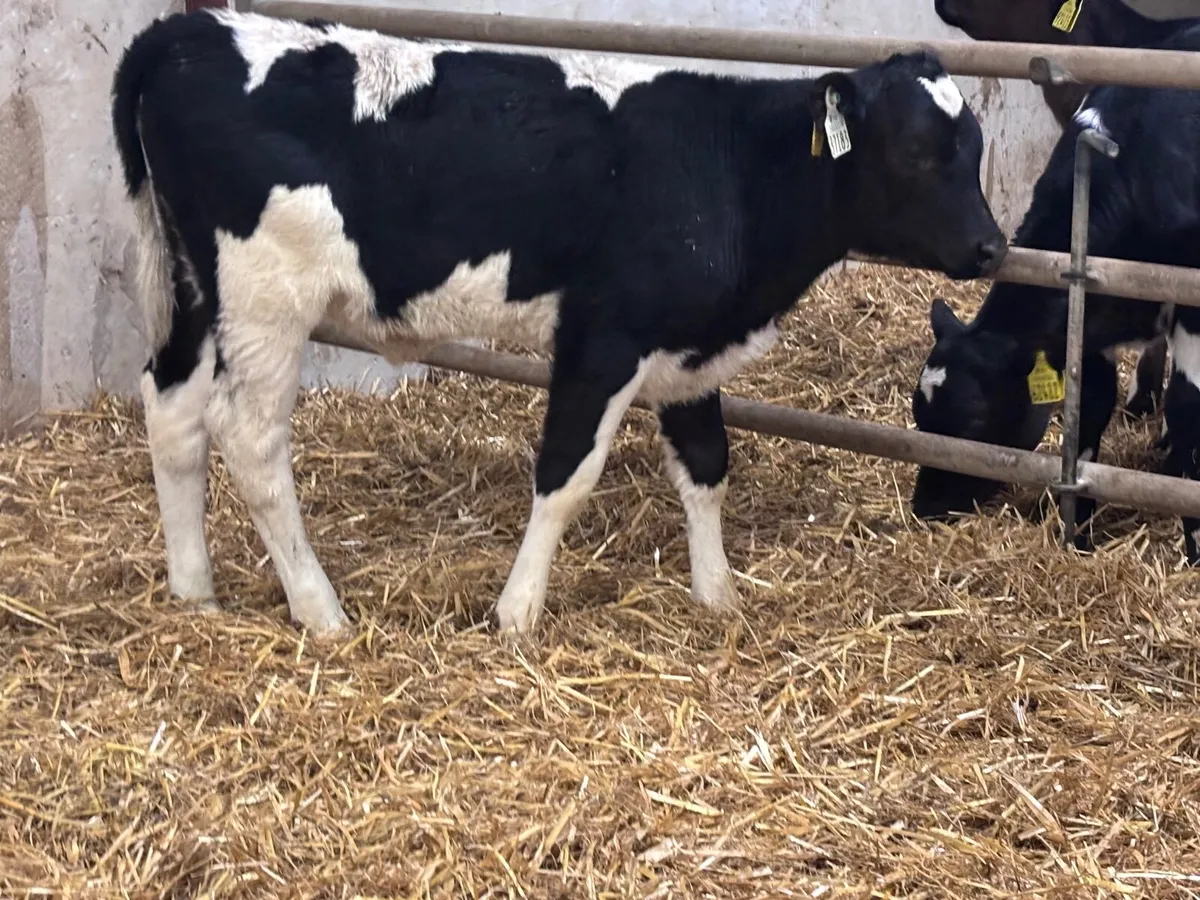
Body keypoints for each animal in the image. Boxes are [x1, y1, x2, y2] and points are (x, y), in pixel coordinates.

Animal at [112, 9, 1005, 637]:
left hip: (196, 290)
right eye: (917, 151)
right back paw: (320, 610)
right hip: (264, 299)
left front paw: (717, 597)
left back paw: (194, 593)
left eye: (975, 147)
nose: (994, 247)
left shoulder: (688, 346)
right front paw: (517, 612)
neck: (726, 167)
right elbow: (565, 475)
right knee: (249, 438)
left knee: (173, 407)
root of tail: (187, 30)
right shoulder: (603, 338)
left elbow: (707, 466)